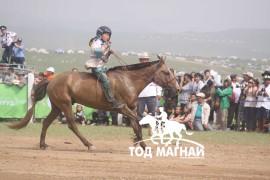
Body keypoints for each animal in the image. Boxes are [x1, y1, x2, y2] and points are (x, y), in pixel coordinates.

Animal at [8, 57, 179, 150]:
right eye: (166, 72)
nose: (177, 88)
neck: (128, 80)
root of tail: (51, 80)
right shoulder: (123, 109)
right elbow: (139, 121)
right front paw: (139, 141)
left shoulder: (130, 109)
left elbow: (137, 125)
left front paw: (142, 145)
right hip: (65, 105)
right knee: (72, 125)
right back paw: (89, 144)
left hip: (57, 107)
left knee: (46, 123)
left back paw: (44, 145)